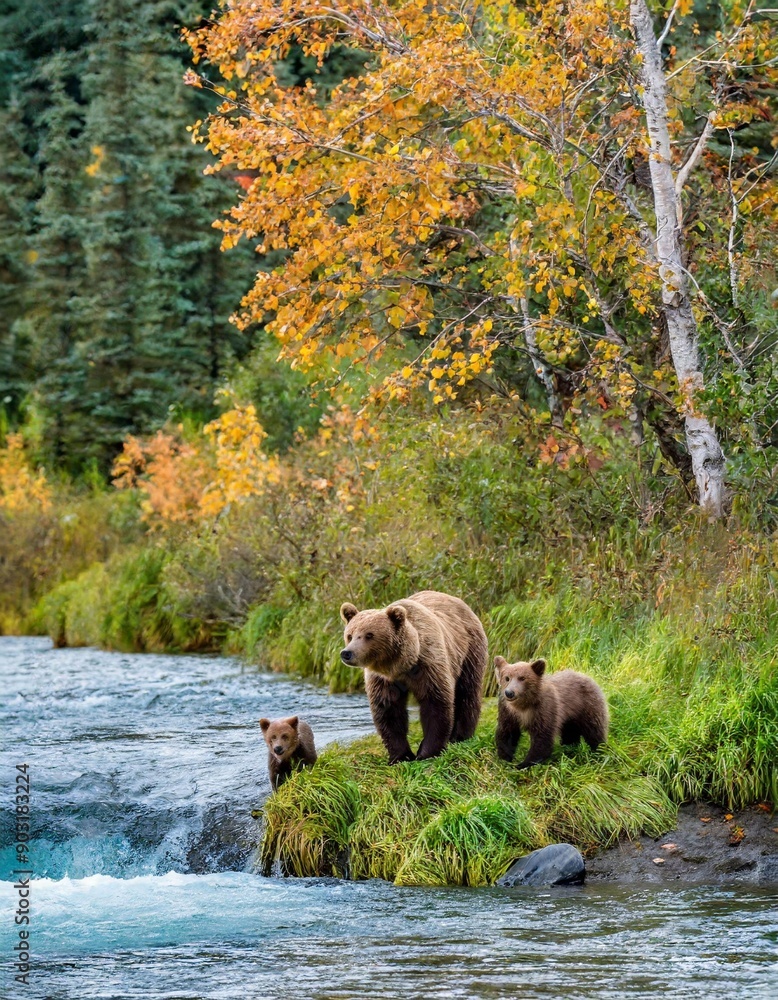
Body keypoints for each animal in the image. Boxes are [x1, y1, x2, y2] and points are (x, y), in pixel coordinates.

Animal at [340, 590, 488, 763]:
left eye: (369, 635)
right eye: (350, 635)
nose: (347, 653)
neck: (400, 665)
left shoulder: (428, 666)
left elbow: (435, 704)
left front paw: (427, 752)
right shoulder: (382, 680)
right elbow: (388, 710)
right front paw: (400, 756)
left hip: (469, 651)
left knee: (467, 692)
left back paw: (460, 737)